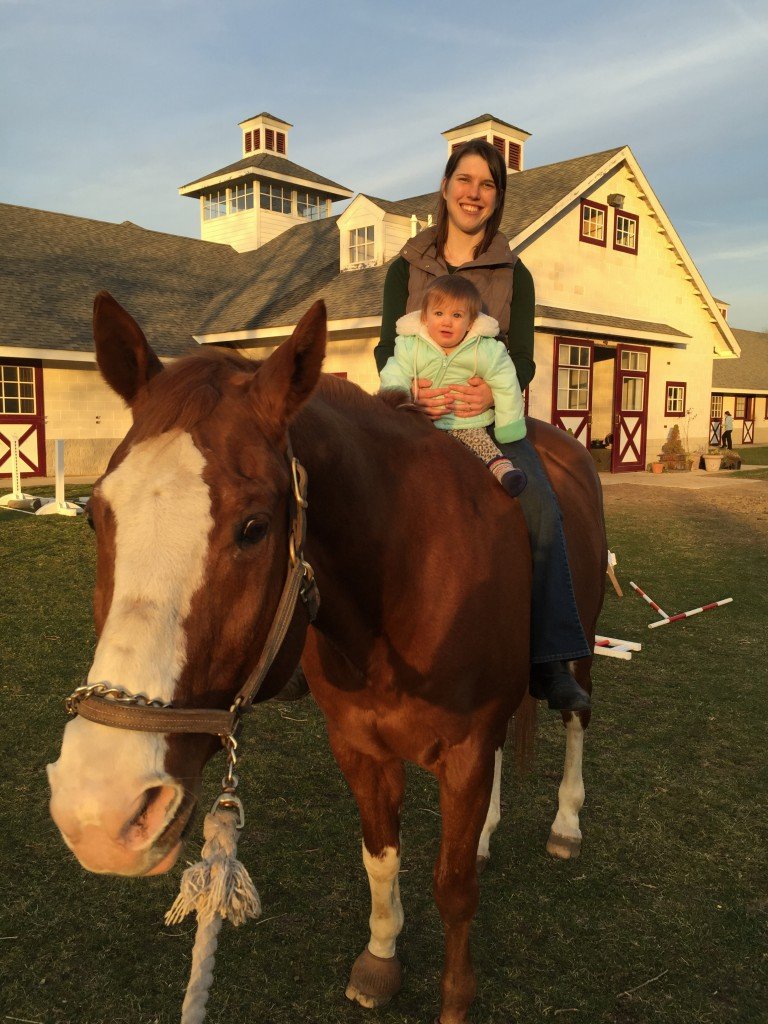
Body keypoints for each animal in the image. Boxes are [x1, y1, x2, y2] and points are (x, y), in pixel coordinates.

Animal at [48, 292, 606, 1024]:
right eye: (95, 516)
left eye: (255, 527)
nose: (100, 811)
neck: (402, 582)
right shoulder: (361, 750)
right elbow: (381, 860)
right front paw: (381, 958)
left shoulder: (462, 752)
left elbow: (453, 886)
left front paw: (456, 997)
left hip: (582, 642)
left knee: (575, 717)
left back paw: (567, 821)